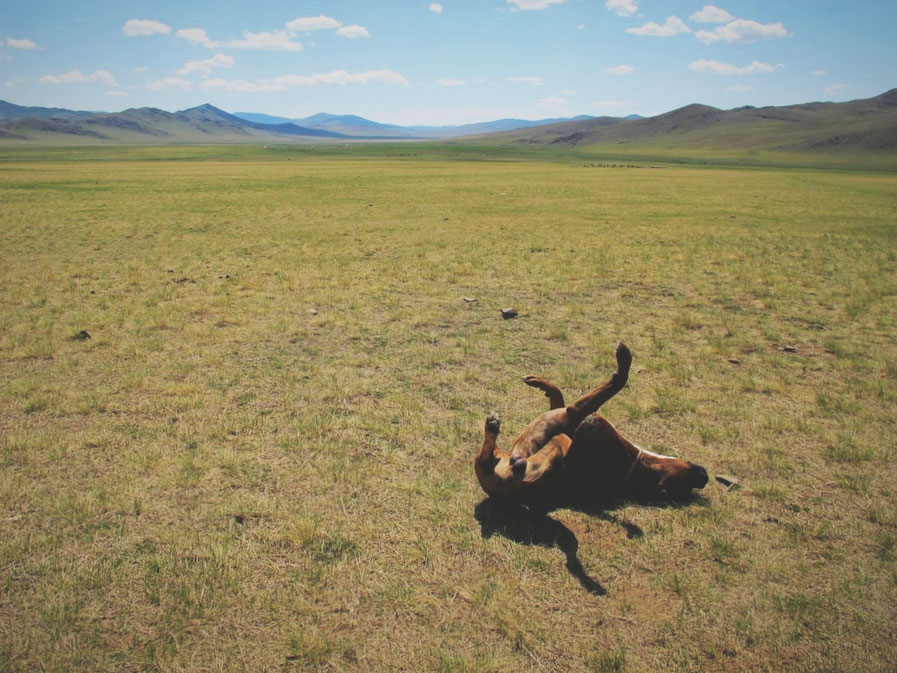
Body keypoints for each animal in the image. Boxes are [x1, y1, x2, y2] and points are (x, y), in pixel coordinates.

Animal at [476, 344, 708, 506]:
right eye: (688, 484)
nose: (704, 477)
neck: (637, 464)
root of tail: (506, 495)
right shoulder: (567, 412)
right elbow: (558, 393)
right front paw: (539, 382)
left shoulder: (573, 412)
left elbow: (615, 383)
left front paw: (623, 362)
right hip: (494, 456)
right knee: (486, 455)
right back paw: (493, 427)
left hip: (557, 450)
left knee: (564, 460)